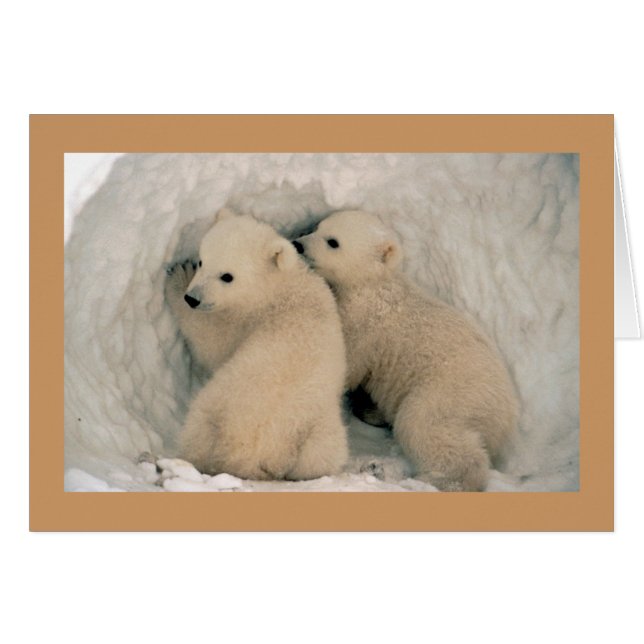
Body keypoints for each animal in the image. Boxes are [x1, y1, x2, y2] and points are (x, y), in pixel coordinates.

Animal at [165, 208, 349, 480]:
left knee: (197, 429)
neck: (278, 287)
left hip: (217, 406)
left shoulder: (244, 320)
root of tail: (253, 455)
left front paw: (177, 277)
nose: (192, 298)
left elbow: (212, 343)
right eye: (202, 261)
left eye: (227, 276)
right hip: (318, 435)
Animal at [295, 210, 519, 491]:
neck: (372, 285)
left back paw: (439, 480)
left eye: (333, 241)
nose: (298, 244)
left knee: (424, 425)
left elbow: (347, 362)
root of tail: (506, 415)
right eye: (316, 227)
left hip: (452, 394)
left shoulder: (365, 323)